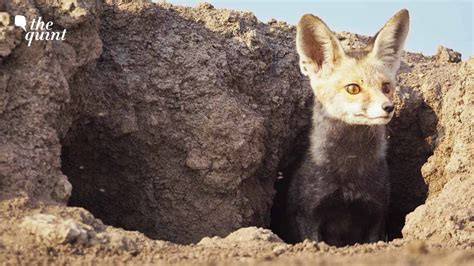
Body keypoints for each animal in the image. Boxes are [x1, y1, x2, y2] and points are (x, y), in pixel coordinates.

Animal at [280, 9, 410, 247]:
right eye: (353, 88)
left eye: (386, 87)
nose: (388, 108)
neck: (350, 171)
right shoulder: (308, 216)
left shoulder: (376, 215)